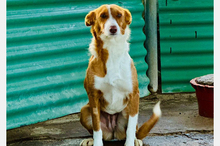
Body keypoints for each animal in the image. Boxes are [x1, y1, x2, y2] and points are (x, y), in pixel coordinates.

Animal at [80, 4, 161, 146]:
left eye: (119, 15)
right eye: (103, 16)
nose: (113, 28)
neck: (112, 50)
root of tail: (113, 134)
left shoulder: (134, 95)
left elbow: (130, 129)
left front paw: (130, 143)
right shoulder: (93, 96)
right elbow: (97, 128)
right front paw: (96, 142)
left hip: (129, 110)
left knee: (133, 130)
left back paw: (135, 140)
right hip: (84, 110)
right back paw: (90, 140)